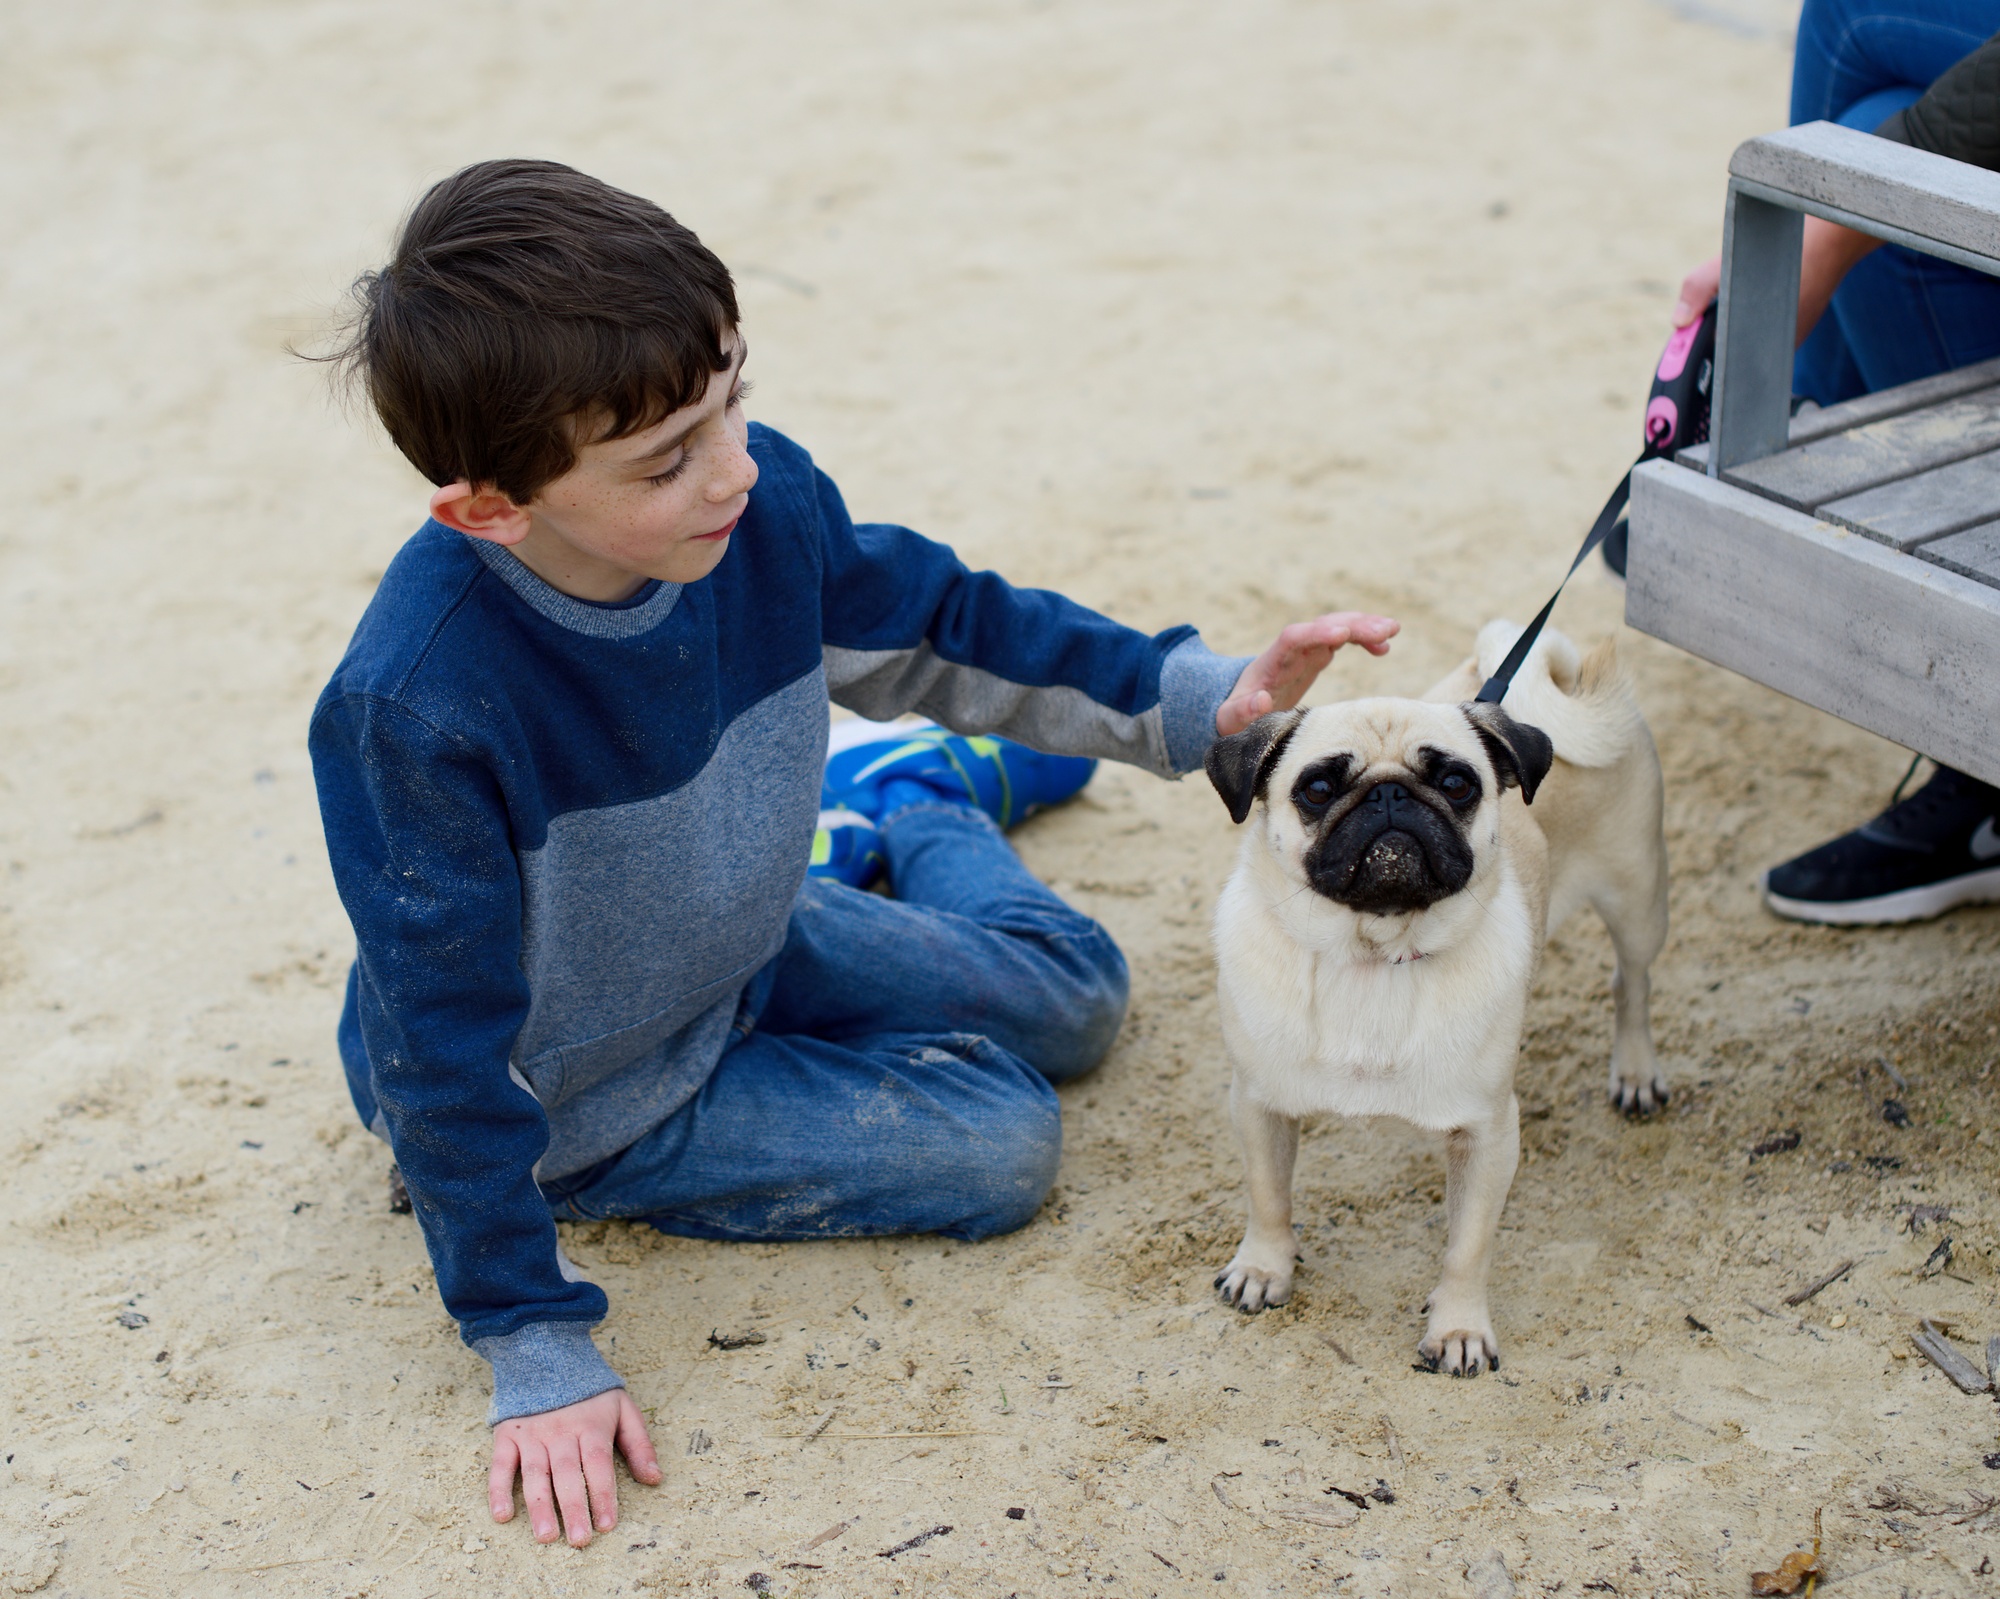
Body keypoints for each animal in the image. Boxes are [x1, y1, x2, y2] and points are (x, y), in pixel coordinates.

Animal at [1202, 622, 1667, 1375]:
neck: (1374, 955)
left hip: (1638, 897)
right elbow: (1269, 1196)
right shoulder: (1260, 1101)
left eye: (1456, 783)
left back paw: (1635, 1070)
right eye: (1317, 787)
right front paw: (1264, 1268)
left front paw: (1458, 1329)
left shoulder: (1488, 1132)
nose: (1390, 795)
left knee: (1633, 982)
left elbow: (1467, 1247)